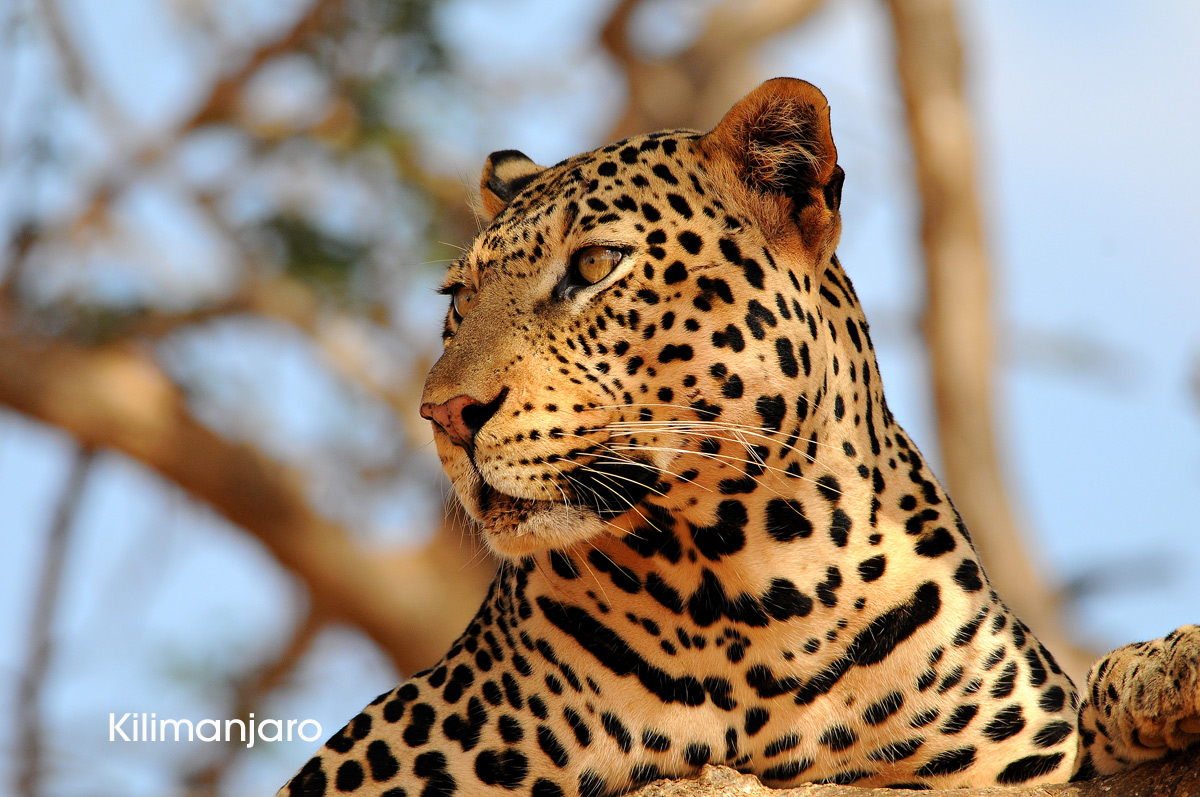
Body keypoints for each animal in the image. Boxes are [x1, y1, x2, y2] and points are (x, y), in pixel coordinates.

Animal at [279, 78, 1200, 796]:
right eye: (458, 299)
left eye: (594, 264)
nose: (443, 414)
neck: (746, 585)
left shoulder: (1017, 759)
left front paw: (1165, 675)